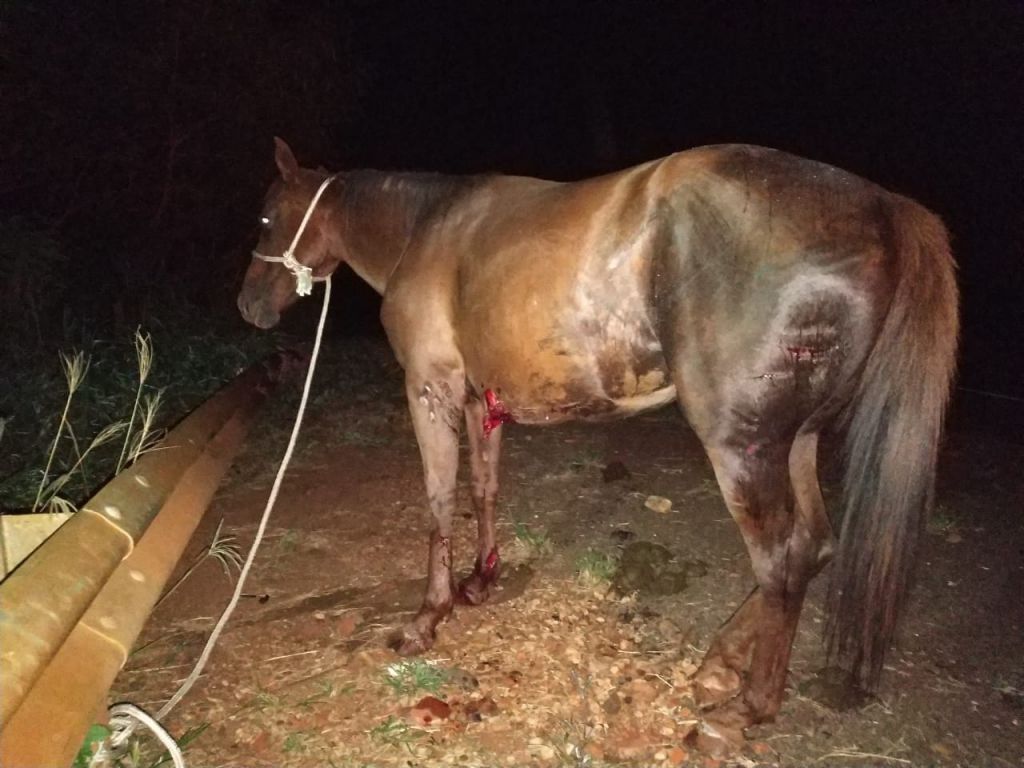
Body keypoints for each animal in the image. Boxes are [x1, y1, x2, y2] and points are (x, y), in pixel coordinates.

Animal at [235, 140, 954, 741]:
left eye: (267, 218)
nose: (248, 307)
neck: (427, 228)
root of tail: (882, 208)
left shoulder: (430, 389)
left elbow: (439, 500)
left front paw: (427, 617)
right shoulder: (477, 401)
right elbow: (484, 487)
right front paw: (480, 580)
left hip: (743, 447)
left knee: (782, 558)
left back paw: (745, 709)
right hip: (794, 439)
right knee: (816, 545)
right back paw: (721, 662)